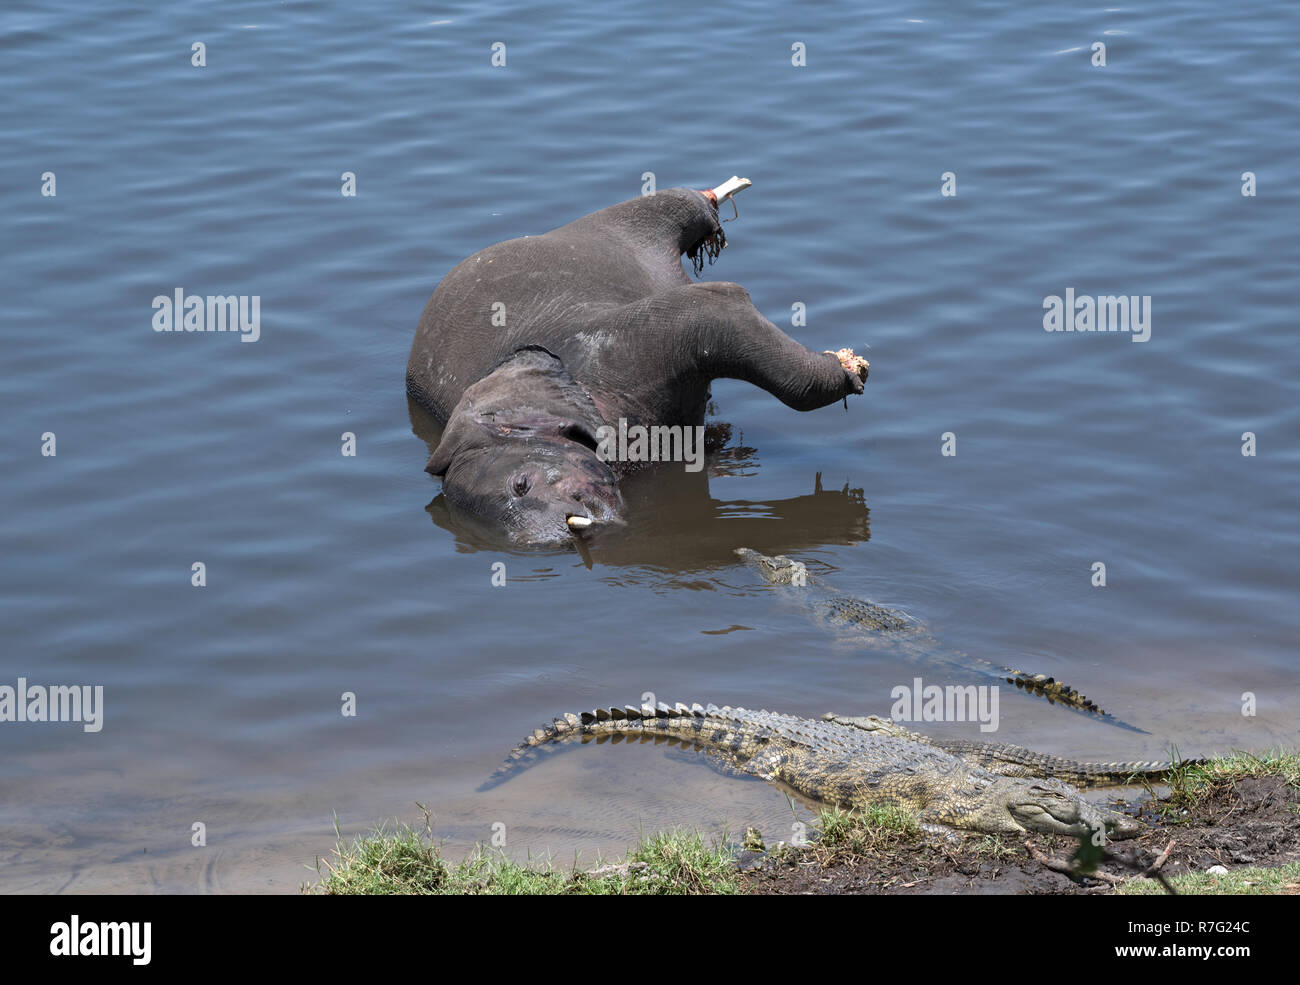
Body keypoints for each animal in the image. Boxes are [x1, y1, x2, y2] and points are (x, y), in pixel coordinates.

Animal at [406, 178, 870, 546]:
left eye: (521, 485)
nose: (568, 536)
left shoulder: (618, 343)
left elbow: (724, 301)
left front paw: (851, 368)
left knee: (677, 205)